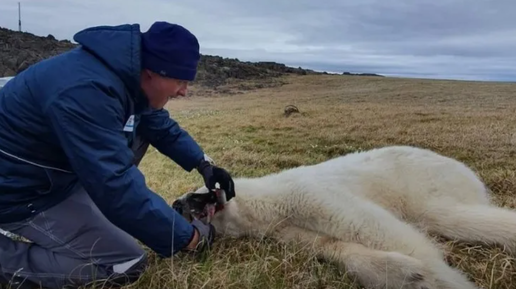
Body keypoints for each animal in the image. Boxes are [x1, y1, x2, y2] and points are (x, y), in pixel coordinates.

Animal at [174, 146, 516, 288]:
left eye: (197, 192)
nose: (177, 203)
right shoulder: (285, 229)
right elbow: (329, 246)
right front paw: (407, 274)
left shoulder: (305, 194)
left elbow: (365, 224)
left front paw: (443, 279)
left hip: (425, 181)